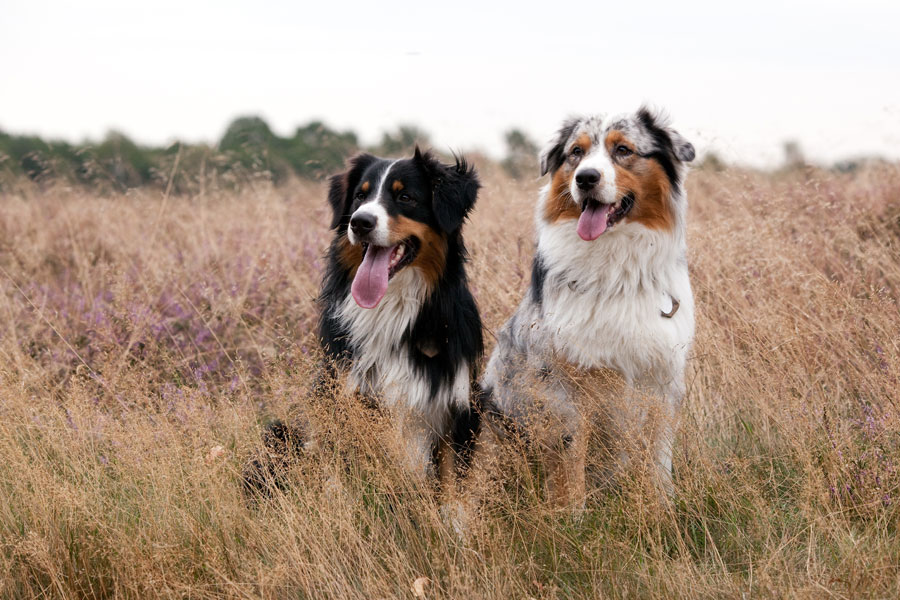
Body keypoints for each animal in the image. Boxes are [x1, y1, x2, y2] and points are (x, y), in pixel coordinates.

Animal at [244, 148, 486, 494]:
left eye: (405, 197)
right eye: (360, 196)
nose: (360, 222)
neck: (392, 307)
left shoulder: (458, 406)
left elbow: (454, 490)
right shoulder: (347, 399)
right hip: (281, 434)